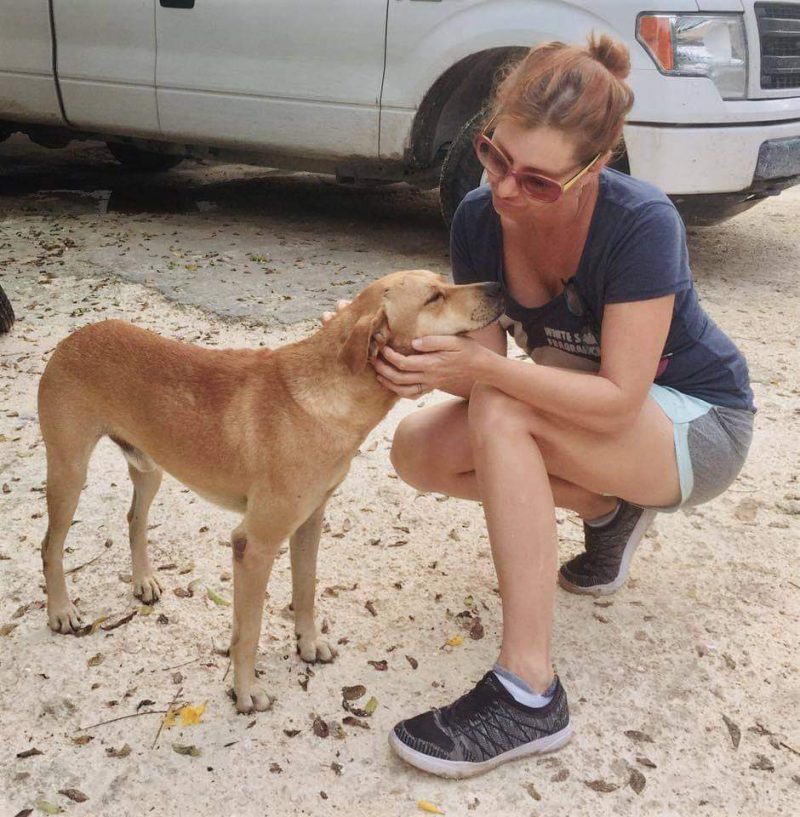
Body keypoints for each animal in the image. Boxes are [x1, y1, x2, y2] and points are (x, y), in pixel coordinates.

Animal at [39, 270, 500, 712]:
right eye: (434, 298)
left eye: (444, 283)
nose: (497, 286)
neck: (326, 395)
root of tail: (77, 336)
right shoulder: (254, 544)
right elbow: (249, 633)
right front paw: (246, 693)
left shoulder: (310, 521)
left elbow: (306, 590)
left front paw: (307, 644)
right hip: (69, 473)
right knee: (50, 546)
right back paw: (61, 611)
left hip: (149, 468)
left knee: (134, 518)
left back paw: (143, 581)